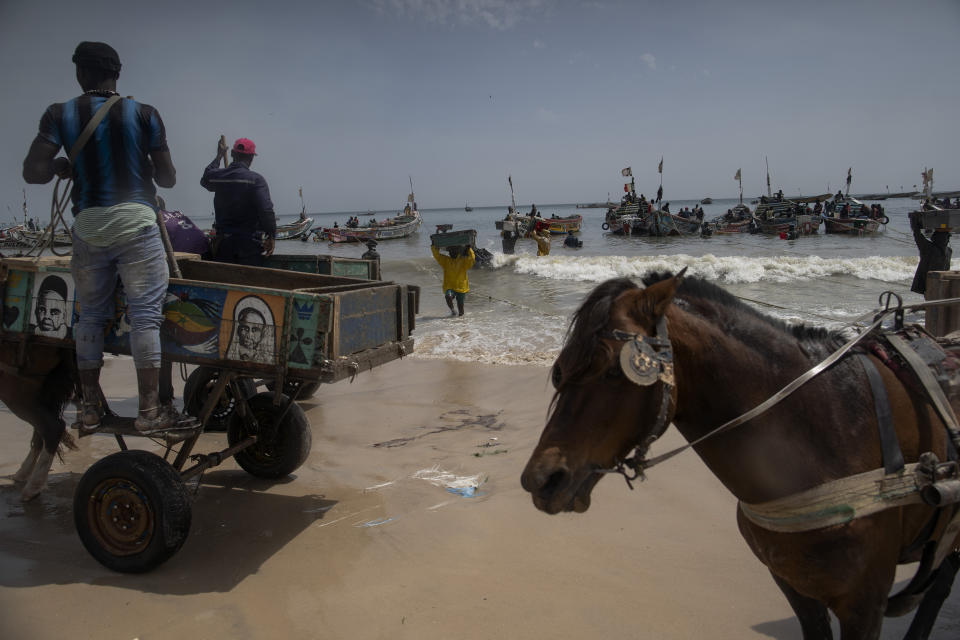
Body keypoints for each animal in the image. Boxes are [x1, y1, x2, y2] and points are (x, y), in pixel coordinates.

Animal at [520, 272, 960, 640]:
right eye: (560, 371)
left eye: (613, 371)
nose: (540, 480)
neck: (835, 429)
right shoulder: (795, 587)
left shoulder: (864, 604)